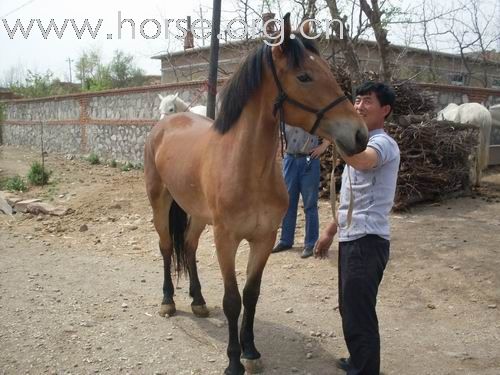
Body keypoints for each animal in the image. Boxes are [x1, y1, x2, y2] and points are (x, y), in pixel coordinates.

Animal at [145, 13, 368, 375]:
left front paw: (250, 351)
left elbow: (251, 295)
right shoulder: (226, 240)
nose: (359, 134)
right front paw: (234, 361)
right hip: (161, 203)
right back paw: (168, 301)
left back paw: (198, 301)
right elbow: (233, 300)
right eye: (304, 76)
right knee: (166, 247)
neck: (248, 169)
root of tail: (166, 123)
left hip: (198, 215)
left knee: (188, 247)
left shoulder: (263, 239)